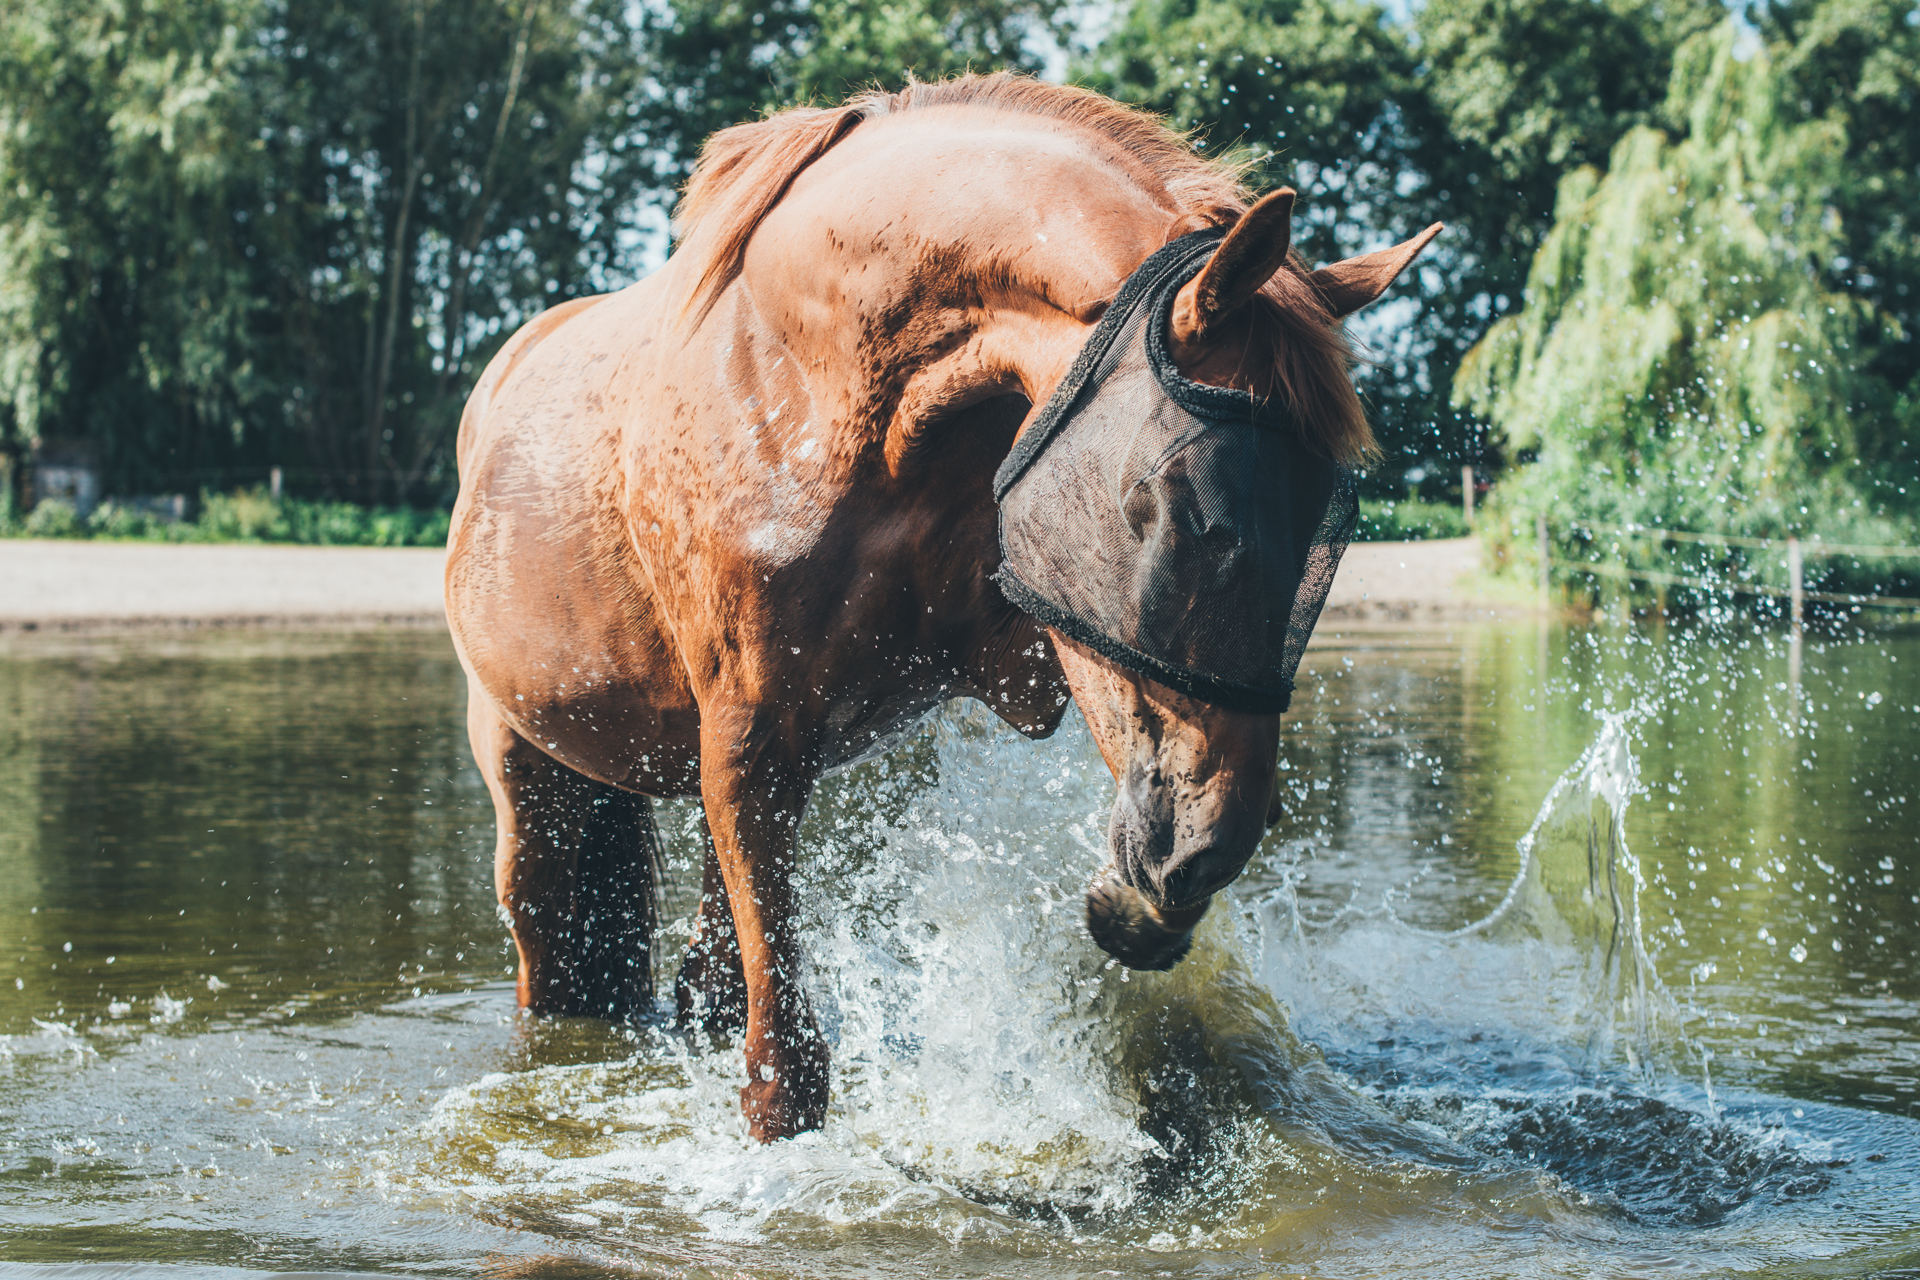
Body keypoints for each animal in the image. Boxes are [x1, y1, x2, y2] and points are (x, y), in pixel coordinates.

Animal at [445, 75, 1443, 1143]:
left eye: (1324, 521)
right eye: (1187, 507)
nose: (1210, 846)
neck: (817, 390)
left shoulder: (1024, 655)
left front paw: (1134, 906)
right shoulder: (749, 745)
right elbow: (785, 1076)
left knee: (703, 979)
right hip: (533, 796)